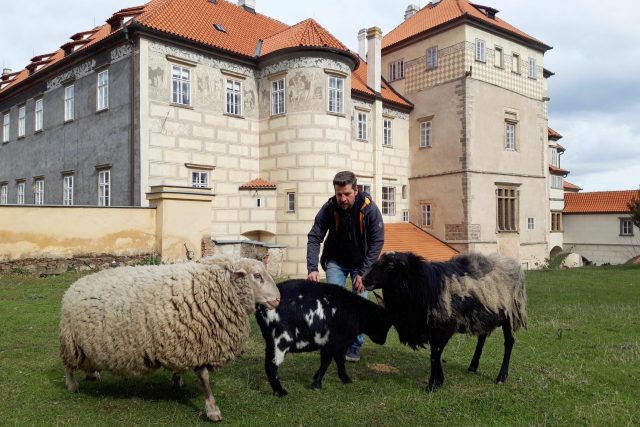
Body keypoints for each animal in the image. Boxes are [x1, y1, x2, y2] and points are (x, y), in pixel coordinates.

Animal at [58, 256, 278, 422]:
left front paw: (177, 380)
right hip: (70, 341)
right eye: (257, 275)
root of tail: (72, 287)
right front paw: (213, 410)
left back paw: (92, 373)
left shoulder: (183, 341)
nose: (278, 299)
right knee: (68, 366)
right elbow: (205, 378)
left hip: (86, 342)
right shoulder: (198, 344)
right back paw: (72, 386)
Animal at [255, 280, 390, 398]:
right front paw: (317, 384)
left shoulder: (339, 344)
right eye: (384, 322)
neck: (357, 312)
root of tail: (260, 306)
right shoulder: (333, 342)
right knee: (272, 365)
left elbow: (339, 361)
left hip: (271, 341)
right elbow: (327, 362)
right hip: (281, 339)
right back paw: (280, 391)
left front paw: (344, 379)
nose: (382, 341)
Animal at [362, 252, 528, 392]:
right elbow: (435, 353)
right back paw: (473, 366)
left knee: (509, 342)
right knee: (482, 338)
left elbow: (435, 355)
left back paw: (501, 377)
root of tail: (512, 263)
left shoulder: (444, 327)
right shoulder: (431, 328)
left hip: (509, 314)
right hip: (484, 316)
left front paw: (431, 385)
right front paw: (439, 381)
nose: (364, 279)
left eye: (390, 266)